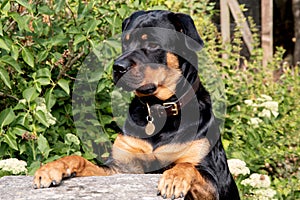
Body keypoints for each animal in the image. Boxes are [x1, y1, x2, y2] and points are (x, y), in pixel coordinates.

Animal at [32, 10, 240, 200]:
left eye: (153, 44)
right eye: (125, 42)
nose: (118, 67)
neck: (158, 109)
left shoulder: (212, 181)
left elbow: (187, 166)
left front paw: (174, 177)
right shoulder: (121, 168)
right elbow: (79, 159)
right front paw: (52, 167)